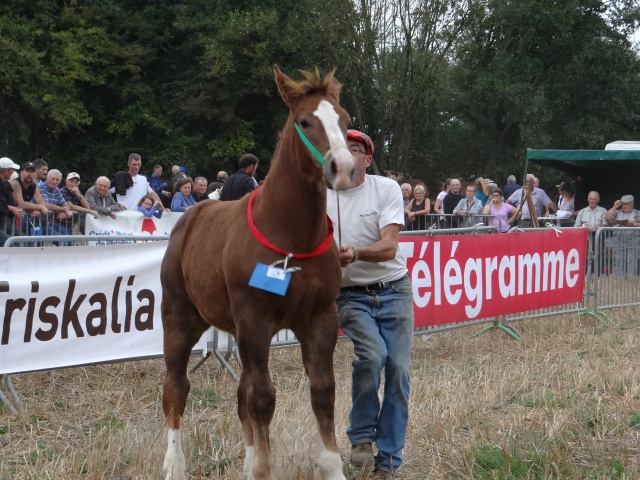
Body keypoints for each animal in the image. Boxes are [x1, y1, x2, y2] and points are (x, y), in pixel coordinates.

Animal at [160, 66, 356, 480]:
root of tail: (191, 214)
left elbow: (323, 392)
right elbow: (262, 399)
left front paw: (330, 467)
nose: (345, 169)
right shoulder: (255, 322)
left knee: (240, 396)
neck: (291, 235)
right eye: (305, 121)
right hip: (180, 320)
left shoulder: (320, 319)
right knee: (176, 388)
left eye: (345, 120)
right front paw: (264, 468)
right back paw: (174, 465)